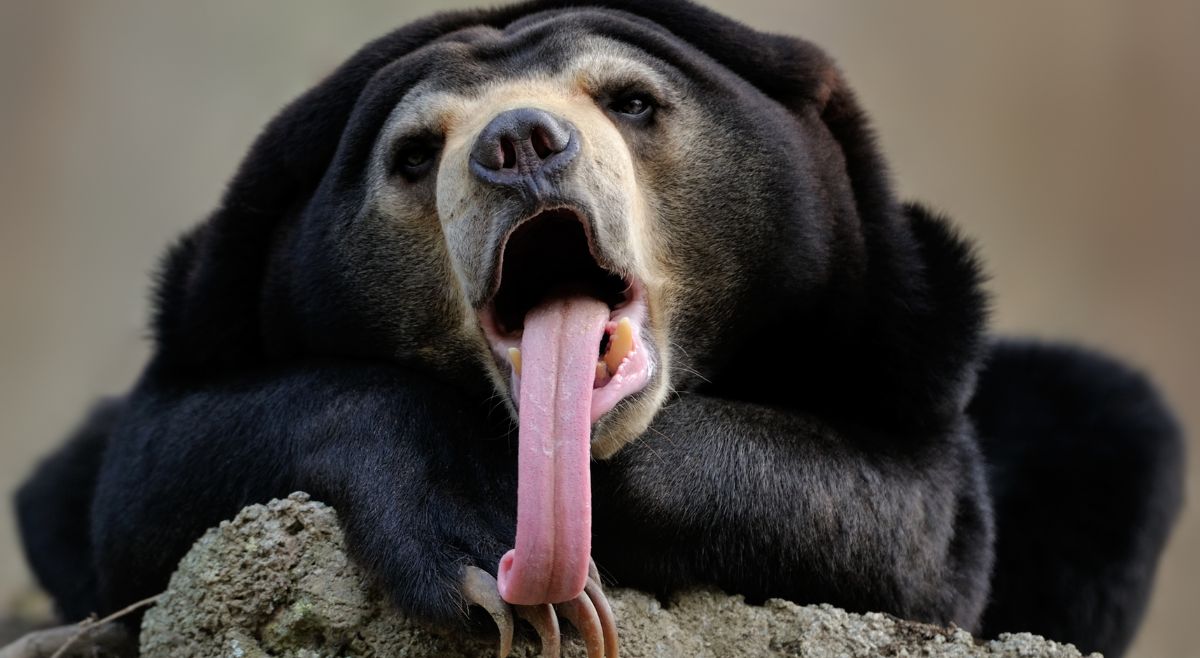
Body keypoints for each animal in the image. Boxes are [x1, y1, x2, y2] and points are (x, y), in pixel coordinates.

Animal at [14, 1, 1183, 657]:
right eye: (413, 153)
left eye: (629, 100)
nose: (519, 145)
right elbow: (145, 477)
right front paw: (481, 570)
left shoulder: (901, 334)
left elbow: (914, 521)